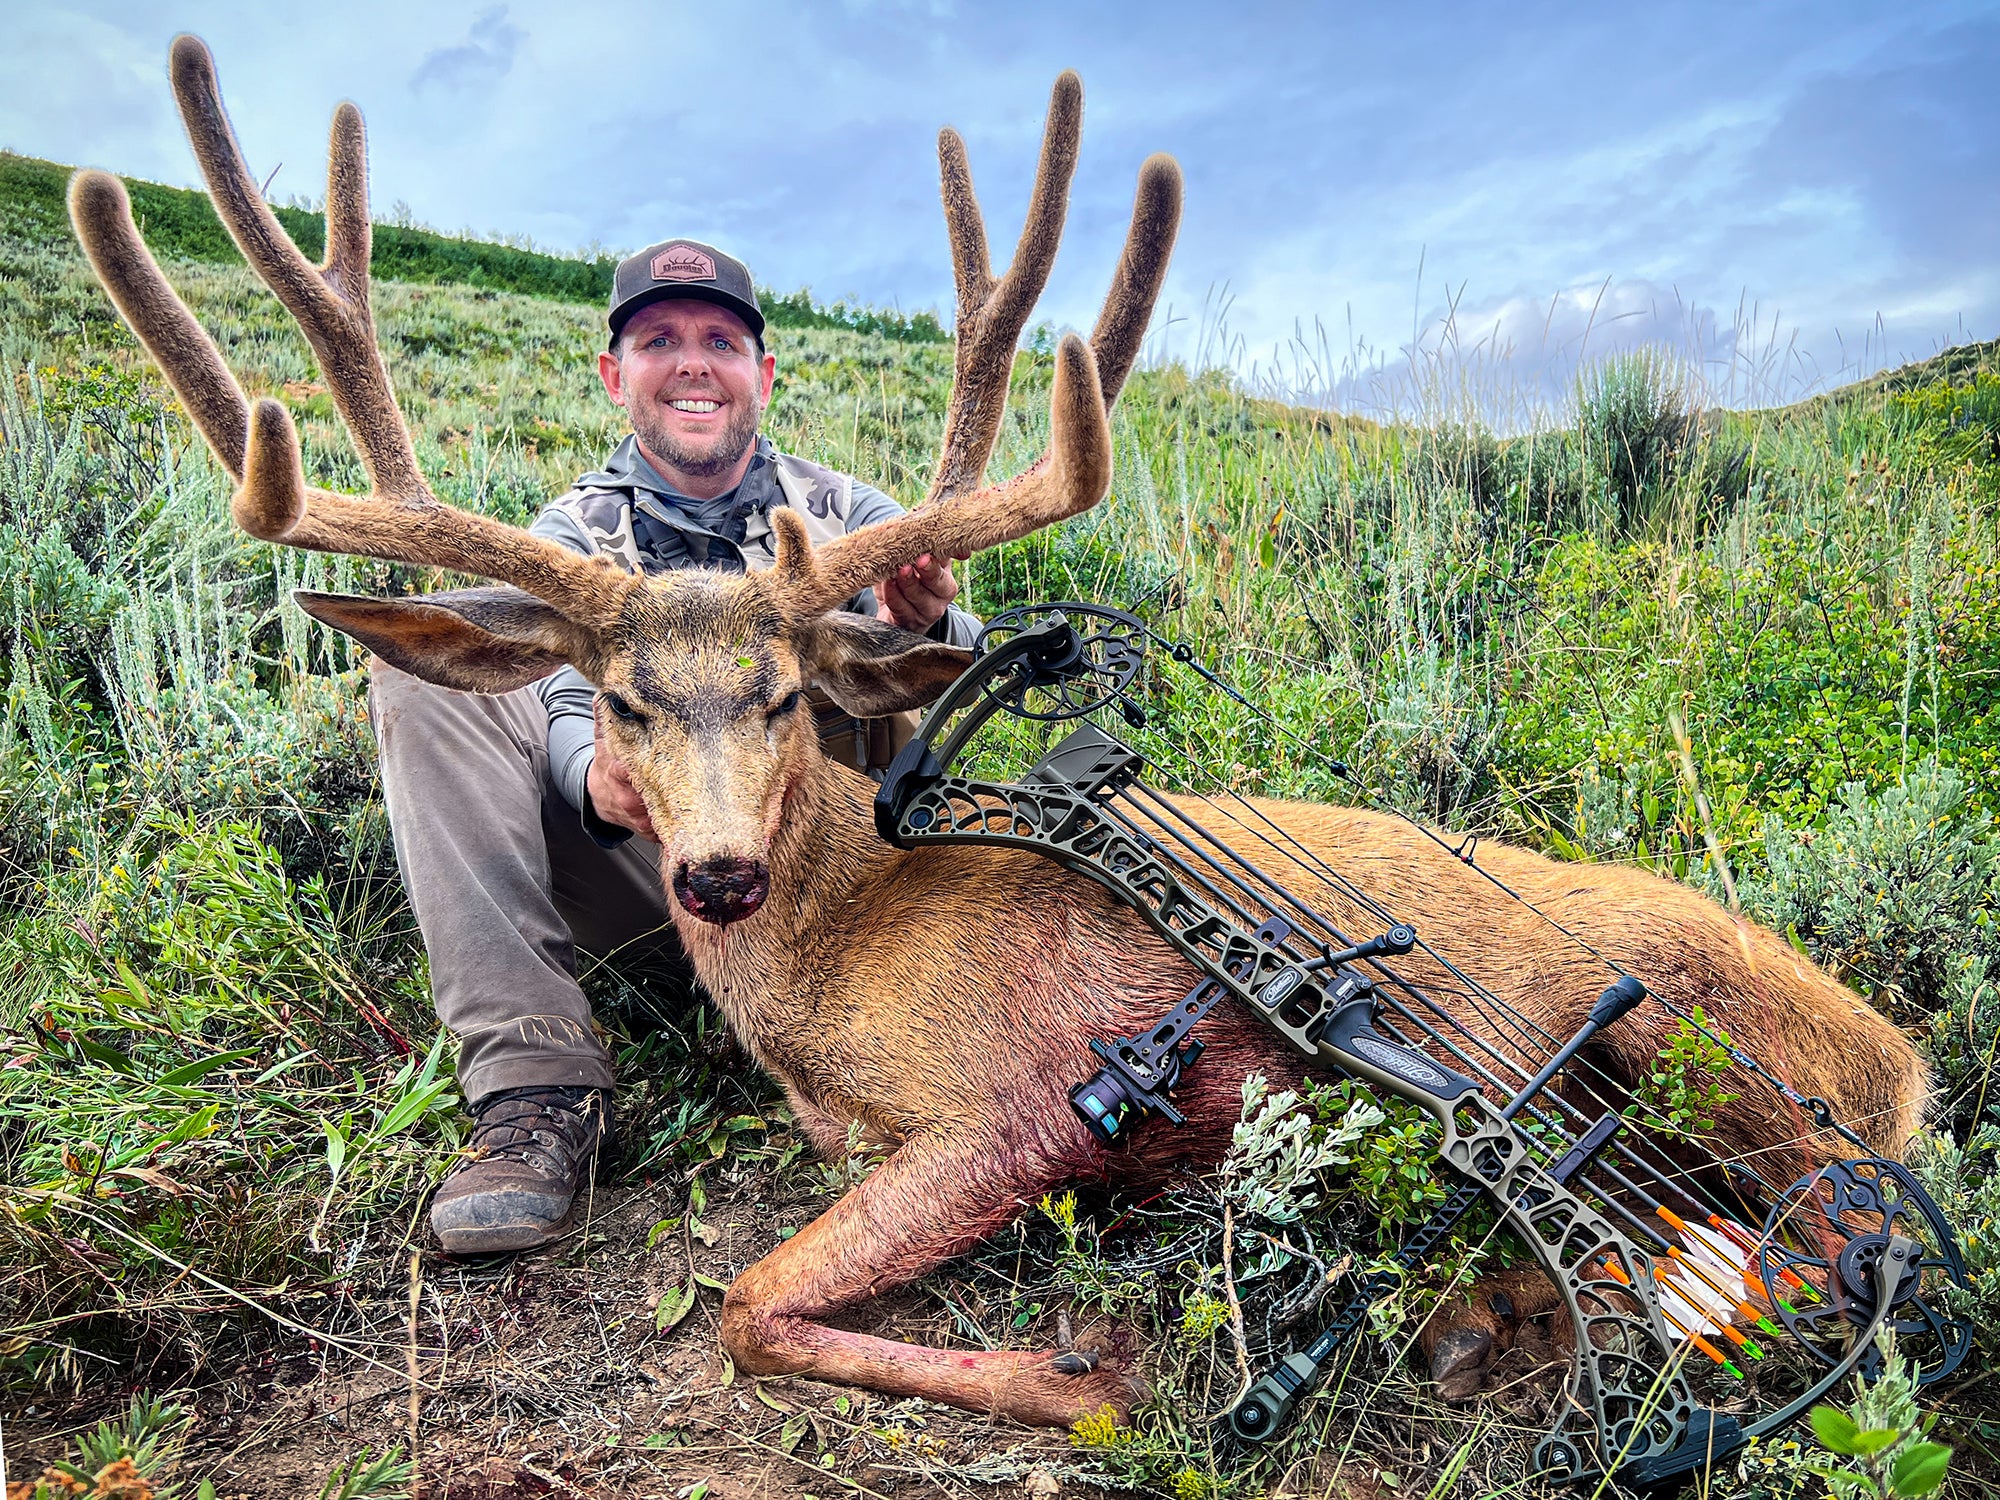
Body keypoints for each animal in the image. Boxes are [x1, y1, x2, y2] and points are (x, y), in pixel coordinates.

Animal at [69, 36, 1930, 1428]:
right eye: (625, 701)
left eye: (781, 692)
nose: (721, 875)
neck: (824, 973)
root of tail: (1897, 1056)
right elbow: (751, 1299)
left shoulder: (1014, 1099)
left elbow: (747, 1306)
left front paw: (1087, 1368)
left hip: (1703, 1039)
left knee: (1824, 1258)